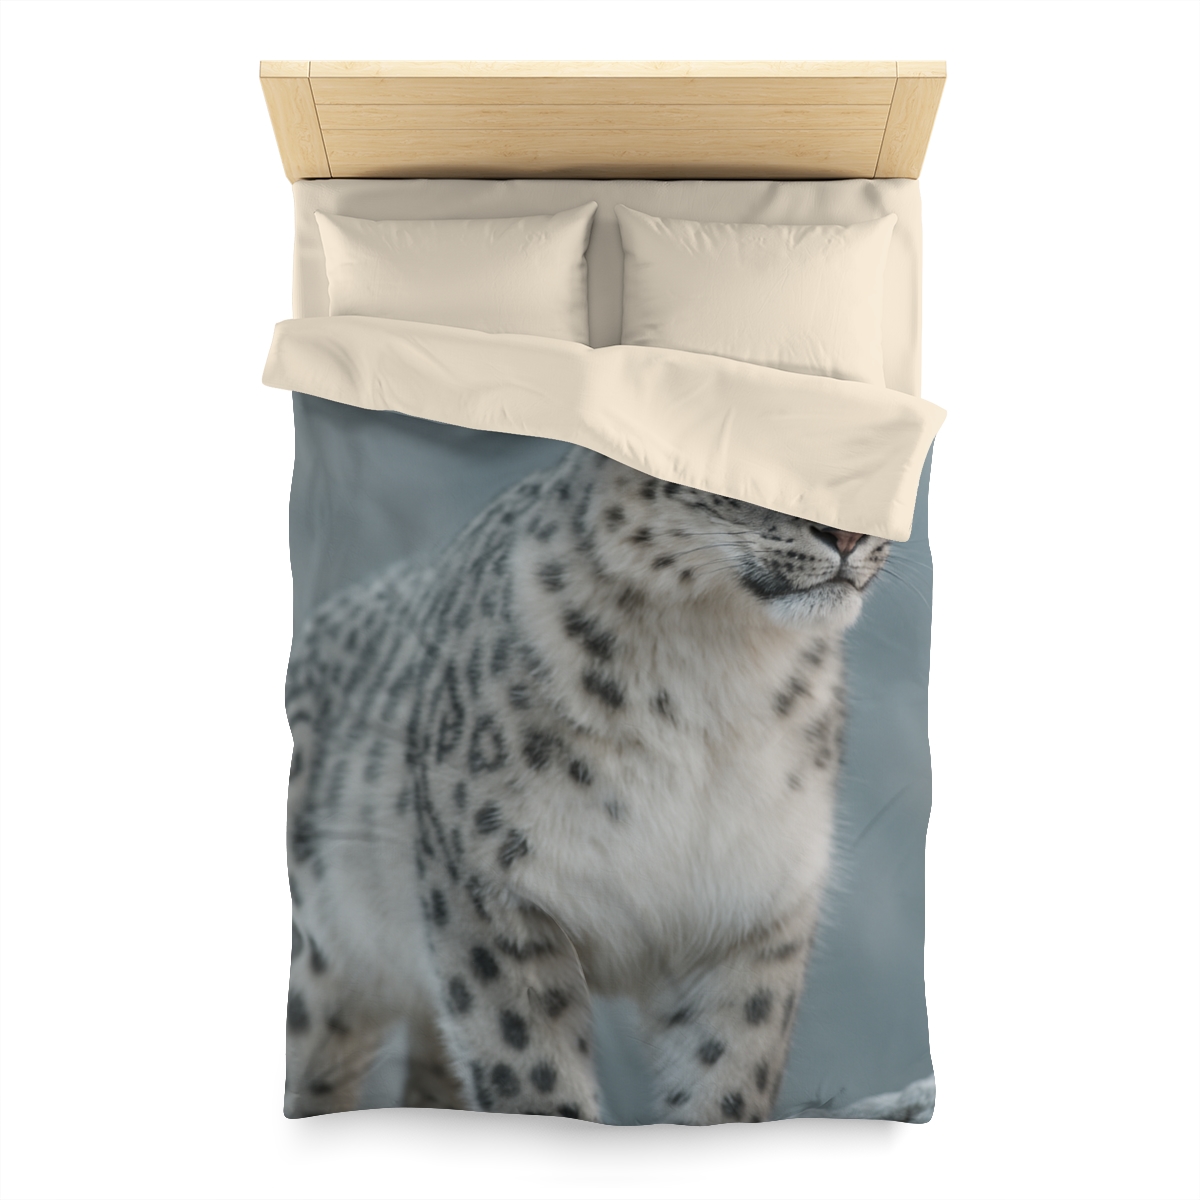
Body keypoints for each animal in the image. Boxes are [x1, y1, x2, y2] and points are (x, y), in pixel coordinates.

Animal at [283, 444, 889, 1124]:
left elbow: (729, 1070)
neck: (719, 676)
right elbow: (533, 1071)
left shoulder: (754, 909)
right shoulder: (495, 896)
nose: (847, 533)